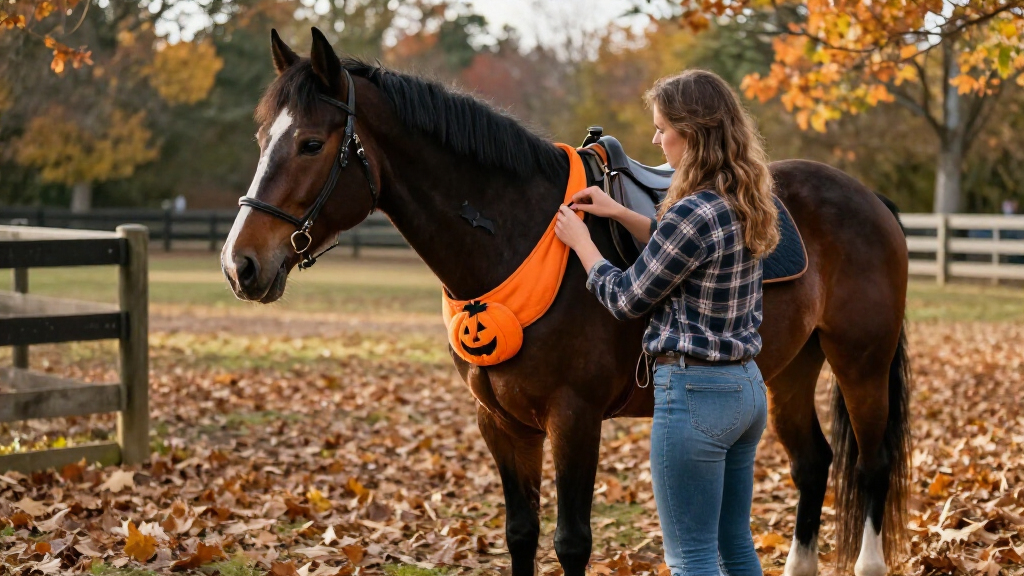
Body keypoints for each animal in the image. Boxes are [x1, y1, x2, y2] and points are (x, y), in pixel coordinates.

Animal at [221, 28, 910, 576]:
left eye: (312, 143)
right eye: (259, 137)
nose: (240, 264)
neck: (519, 234)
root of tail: (870, 197)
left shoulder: (574, 418)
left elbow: (571, 541)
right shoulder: (500, 422)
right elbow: (521, 534)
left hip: (861, 363)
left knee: (871, 466)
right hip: (789, 369)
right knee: (813, 465)